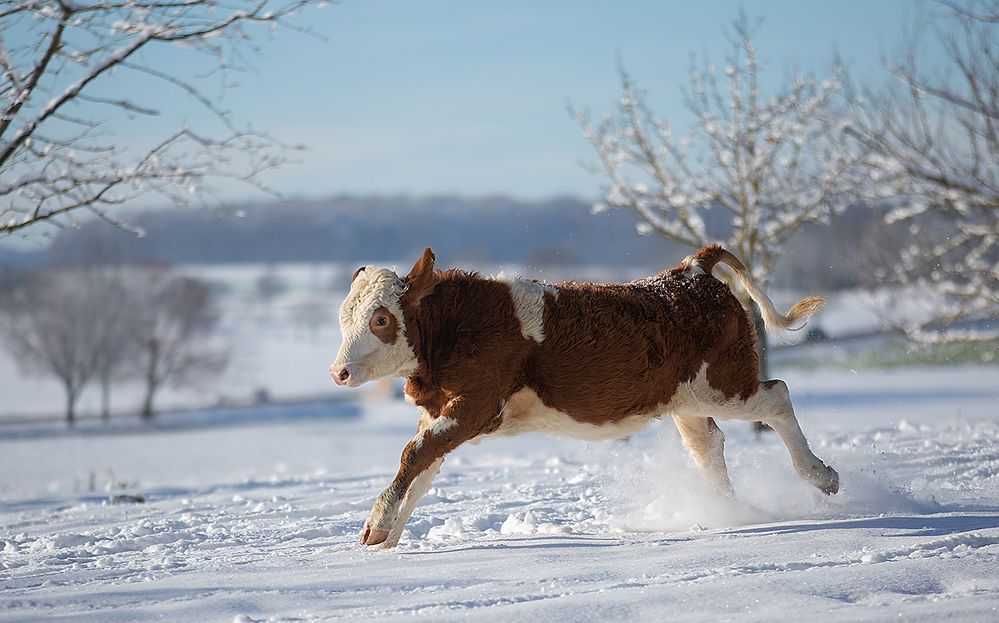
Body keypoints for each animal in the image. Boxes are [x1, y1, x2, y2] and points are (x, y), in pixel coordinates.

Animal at [332, 246, 840, 548]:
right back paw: (726, 512)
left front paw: (378, 524)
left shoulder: (475, 404)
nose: (339, 372)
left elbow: (413, 454)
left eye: (381, 318)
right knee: (709, 445)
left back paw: (821, 476)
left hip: (724, 385)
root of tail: (690, 269)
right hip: (687, 399)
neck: (453, 327)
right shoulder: (445, 409)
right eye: (344, 316)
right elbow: (422, 467)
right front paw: (387, 535)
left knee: (776, 397)